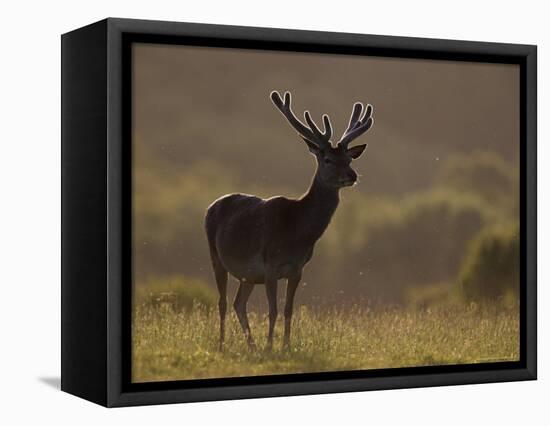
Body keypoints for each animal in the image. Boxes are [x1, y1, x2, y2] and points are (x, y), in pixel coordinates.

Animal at [206, 90, 376, 350]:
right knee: (223, 302)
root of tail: (211, 205)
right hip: (216, 257)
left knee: (238, 303)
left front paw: (285, 345)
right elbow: (273, 310)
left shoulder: (298, 269)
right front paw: (270, 347)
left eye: (349, 159)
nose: (352, 175)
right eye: (327, 159)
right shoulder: (270, 266)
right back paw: (223, 343)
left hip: (247, 274)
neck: (297, 233)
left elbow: (288, 310)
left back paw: (251, 345)